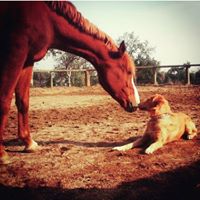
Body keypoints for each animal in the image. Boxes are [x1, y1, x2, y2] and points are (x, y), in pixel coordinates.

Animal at [0, 1, 140, 164]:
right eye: (128, 72)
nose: (136, 103)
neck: (47, 19)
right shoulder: (15, 54)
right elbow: (4, 101)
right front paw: (2, 154)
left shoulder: (28, 60)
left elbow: (23, 102)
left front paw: (29, 143)